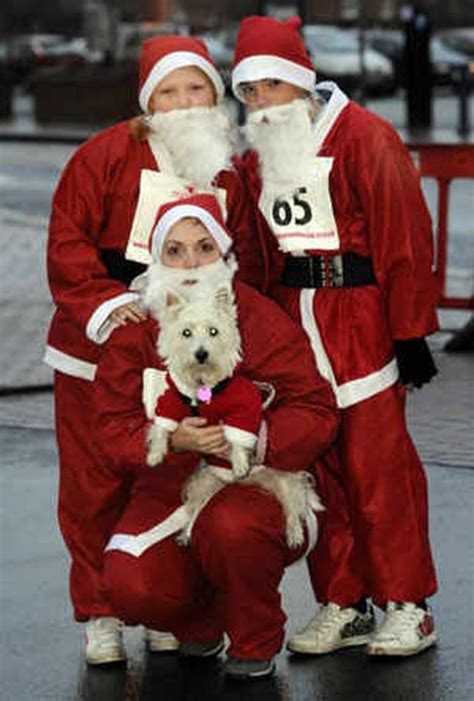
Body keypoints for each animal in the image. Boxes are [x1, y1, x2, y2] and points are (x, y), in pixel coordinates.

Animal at [147, 284, 326, 548]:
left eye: (213, 331)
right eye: (186, 333)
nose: (201, 353)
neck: (204, 385)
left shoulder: (243, 407)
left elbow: (238, 438)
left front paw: (240, 462)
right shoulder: (169, 404)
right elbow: (161, 428)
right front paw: (155, 455)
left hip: (285, 480)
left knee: (293, 506)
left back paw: (294, 533)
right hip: (206, 483)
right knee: (195, 511)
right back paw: (186, 534)